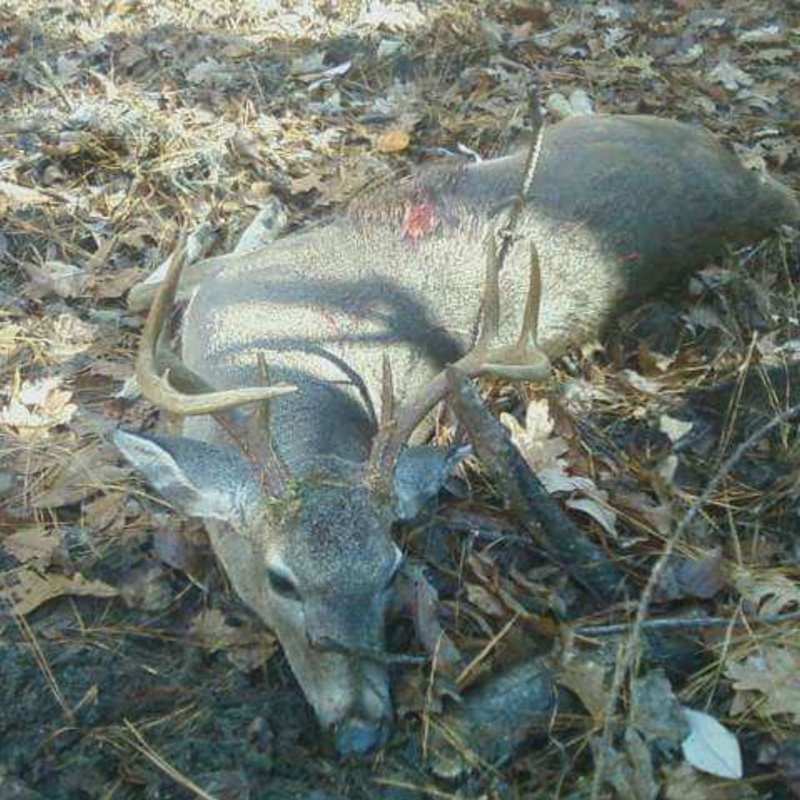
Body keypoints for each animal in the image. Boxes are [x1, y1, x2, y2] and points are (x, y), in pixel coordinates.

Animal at [114, 112, 799, 757]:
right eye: (281, 580)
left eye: (390, 571)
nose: (361, 731)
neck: (286, 364)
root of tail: (748, 185)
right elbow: (155, 290)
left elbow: (149, 288)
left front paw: (234, 219)